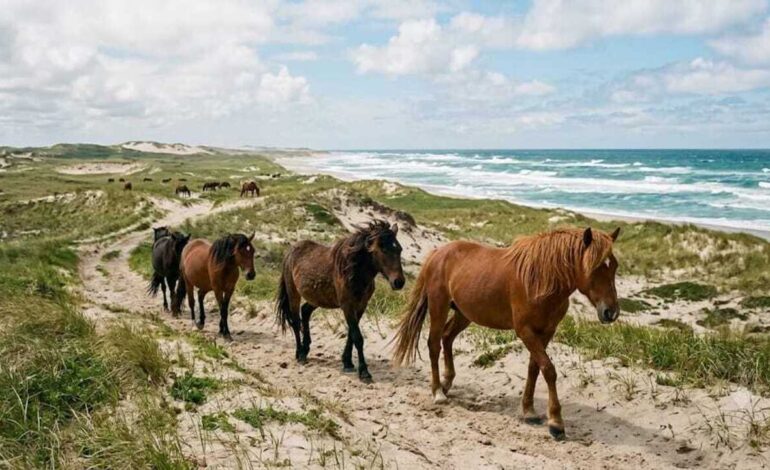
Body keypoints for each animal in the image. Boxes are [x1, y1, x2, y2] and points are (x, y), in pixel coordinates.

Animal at [275, 220, 405, 382]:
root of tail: (290, 251)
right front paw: (364, 372)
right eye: (383, 249)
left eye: (399, 249)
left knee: (305, 311)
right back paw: (300, 354)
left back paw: (305, 349)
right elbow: (357, 337)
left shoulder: (360, 306)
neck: (353, 270)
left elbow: (351, 334)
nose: (399, 282)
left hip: (318, 298)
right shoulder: (347, 306)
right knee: (295, 321)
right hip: (293, 294)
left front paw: (347, 362)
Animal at [392, 227, 621, 440]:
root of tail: (438, 252)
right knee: (434, 344)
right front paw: (556, 423)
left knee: (447, 337)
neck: (541, 279)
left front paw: (529, 411)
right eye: (595, 267)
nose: (611, 312)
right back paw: (438, 391)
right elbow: (548, 370)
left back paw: (446, 383)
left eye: (615, 266)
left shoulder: (546, 332)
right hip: (439, 307)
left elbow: (534, 369)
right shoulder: (525, 331)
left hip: (464, 313)